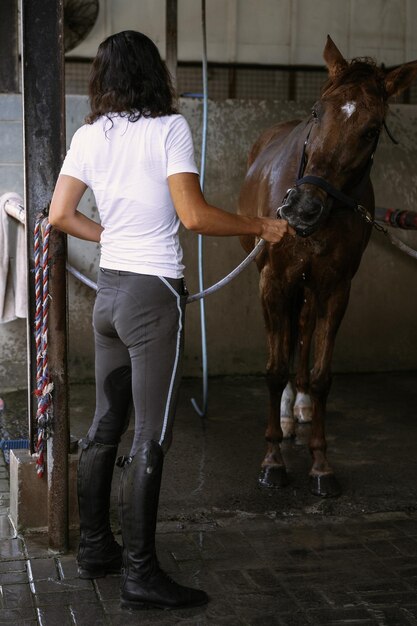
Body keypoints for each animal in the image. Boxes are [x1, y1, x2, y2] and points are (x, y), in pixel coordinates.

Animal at [237, 36, 416, 494]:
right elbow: (274, 367)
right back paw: (285, 413)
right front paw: (272, 461)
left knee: (301, 332)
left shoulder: (335, 287)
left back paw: (298, 405)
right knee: (286, 339)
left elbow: (321, 375)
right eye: (318, 112)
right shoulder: (273, 281)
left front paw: (321, 464)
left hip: (309, 287)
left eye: (372, 130)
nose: (302, 208)